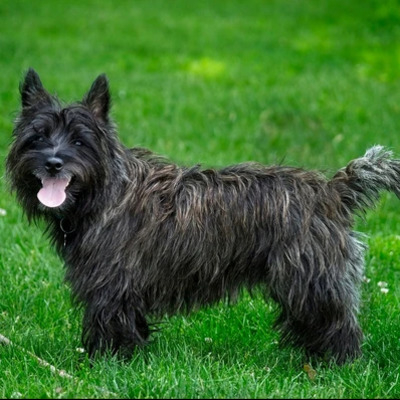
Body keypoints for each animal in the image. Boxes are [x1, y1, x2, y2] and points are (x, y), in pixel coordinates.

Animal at [5, 68, 400, 362]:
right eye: (37, 137)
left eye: (79, 140)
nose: (53, 163)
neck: (105, 193)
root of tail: (332, 190)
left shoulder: (110, 285)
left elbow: (110, 324)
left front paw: (107, 363)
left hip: (311, 281)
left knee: (338, 324)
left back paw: (336, 365)